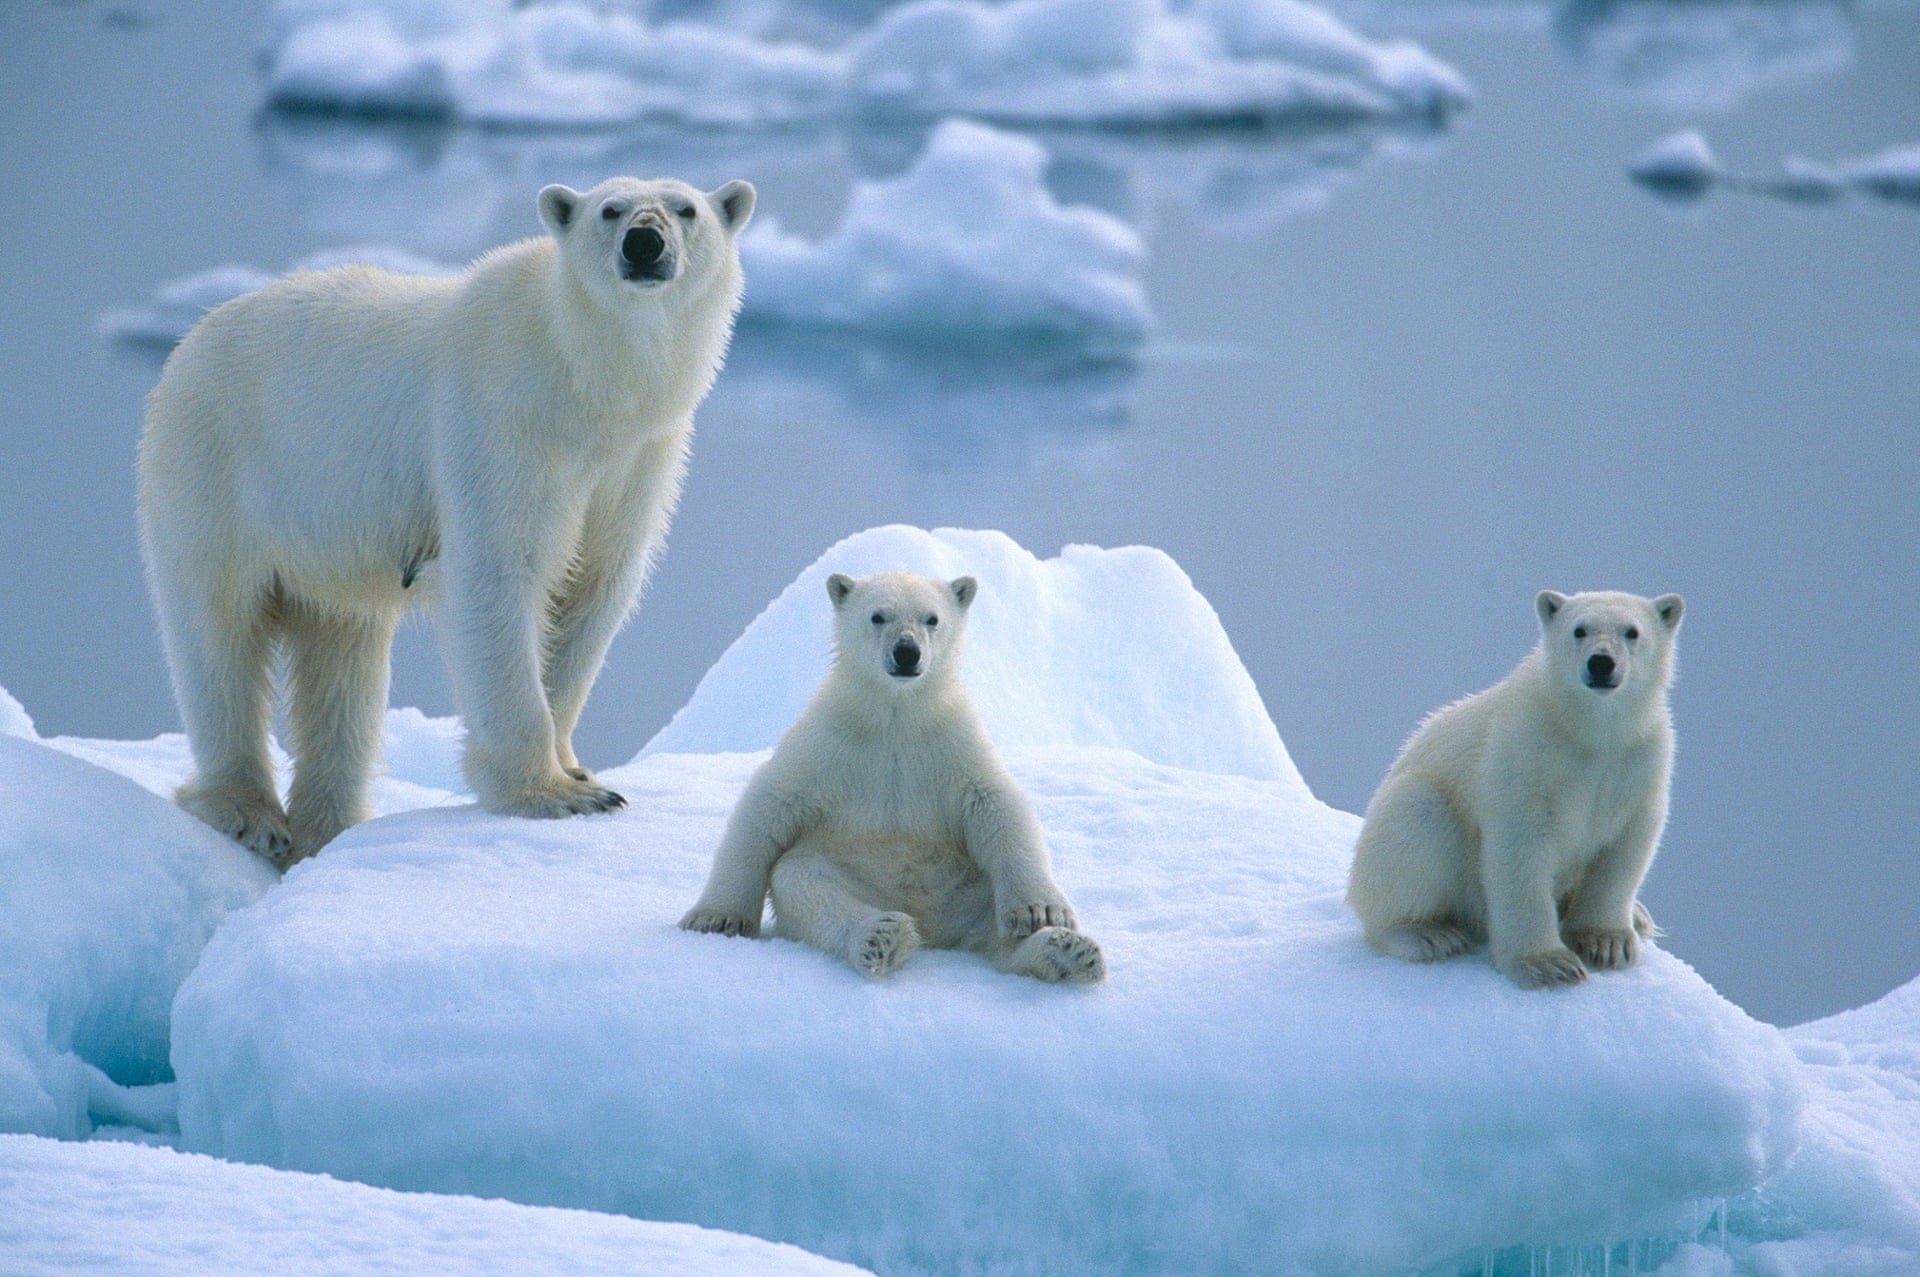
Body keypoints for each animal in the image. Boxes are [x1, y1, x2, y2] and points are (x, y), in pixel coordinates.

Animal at [139, 171, 752, 867]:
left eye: (687, 209)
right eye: (611, 209)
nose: (644, 244)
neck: (583, 381)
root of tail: (187, 343)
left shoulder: (638, 459)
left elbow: (595, 588)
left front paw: (576, 767)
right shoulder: (502, 424)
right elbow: (499, 573)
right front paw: (556, 795)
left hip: (325, 542)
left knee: (342, 660)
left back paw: (327, 826)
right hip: (215, 469)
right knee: (218, 633)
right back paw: (250, 814)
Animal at [679, 568, 1105, 983]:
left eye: (932, 618)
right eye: (877, 616)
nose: (906, 652)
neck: (895, 716)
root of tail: (931, 925)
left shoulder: (951, 742)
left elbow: (996, 805)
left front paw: (1042, 911)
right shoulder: (829, 742)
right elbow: (770, 803)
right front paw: (715, 918)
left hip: (968, 880)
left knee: (993, 919)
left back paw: (1068, 950)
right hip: (851, 872)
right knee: (805, 883)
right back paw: (883, 935)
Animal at [1344, 591, 1689, 990]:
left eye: (1632, 631)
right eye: (1579, 630)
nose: (1602, 663)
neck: (1591, 731)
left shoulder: (1640, 760)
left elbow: (1625, 848)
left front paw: (1607, 942)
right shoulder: (1528, 757)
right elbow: (1521, 851)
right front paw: (1549, 964)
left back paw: (1637, 915)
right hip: (1415, 815)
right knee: (1414, 825)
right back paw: (1428, 934)